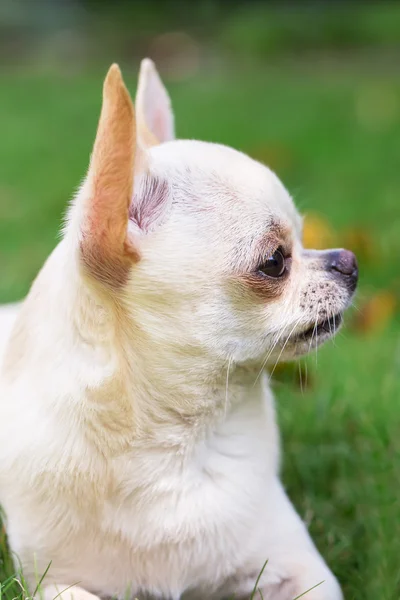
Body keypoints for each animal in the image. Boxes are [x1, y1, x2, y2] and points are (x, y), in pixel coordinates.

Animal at [0, 57, 358, 600]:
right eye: (275, 261)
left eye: (304, 236)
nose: (350, 261)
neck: (177, 440)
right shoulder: (53, 581)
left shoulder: (298, 569)